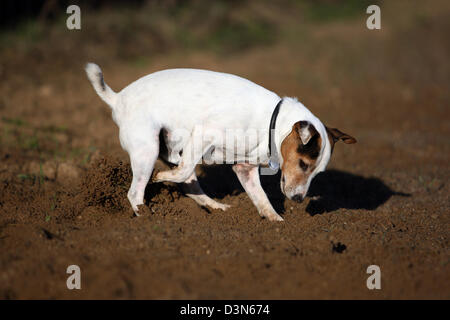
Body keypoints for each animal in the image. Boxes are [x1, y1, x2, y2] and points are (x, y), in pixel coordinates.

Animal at [85, 63, 356, 221]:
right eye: (303, 165)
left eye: (317, 173)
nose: (299, 200)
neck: (271, 121)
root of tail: (117, 98)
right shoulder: (205, 133)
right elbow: (180, 171)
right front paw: (160, 178)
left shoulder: (245, 168)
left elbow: (262, 199)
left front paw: (277, 224)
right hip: (147, 150)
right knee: (137, 191)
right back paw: (146, 215)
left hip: (168, 148)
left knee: (189, 184)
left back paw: (215, 208)